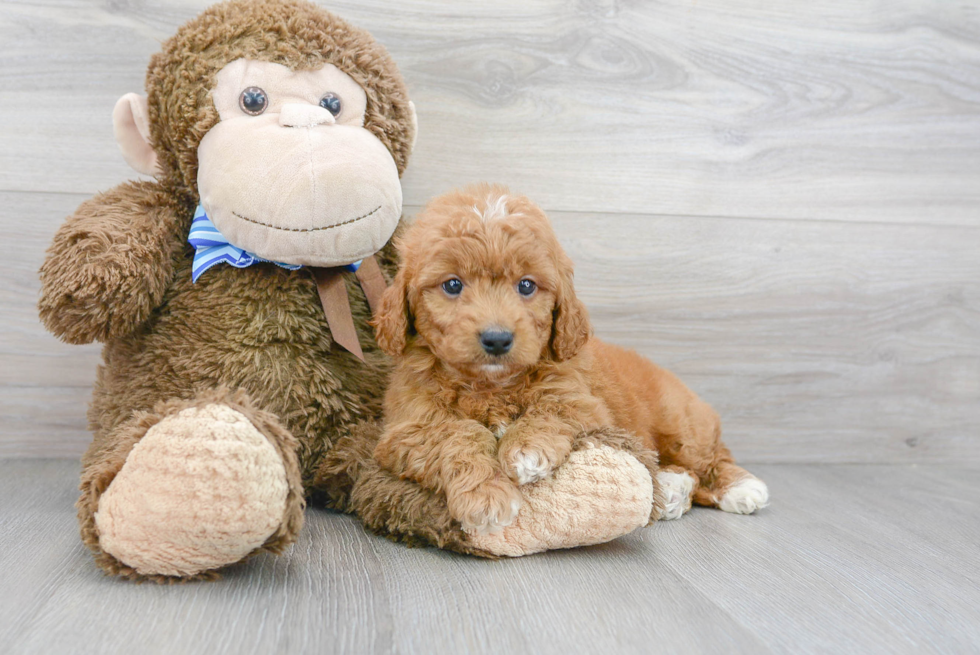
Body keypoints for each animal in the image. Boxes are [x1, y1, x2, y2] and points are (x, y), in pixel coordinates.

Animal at [372, 183, 768, 532]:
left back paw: (740, 488)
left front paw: (526, 450)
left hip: (682, 426)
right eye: (452, 285)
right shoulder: (408, 428)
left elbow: (550, 408)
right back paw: (672, 490)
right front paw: (485, 496)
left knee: (710, 460)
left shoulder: (583, 403)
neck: (491, 385)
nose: (497, 339)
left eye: (526, 285)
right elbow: (456, 434)